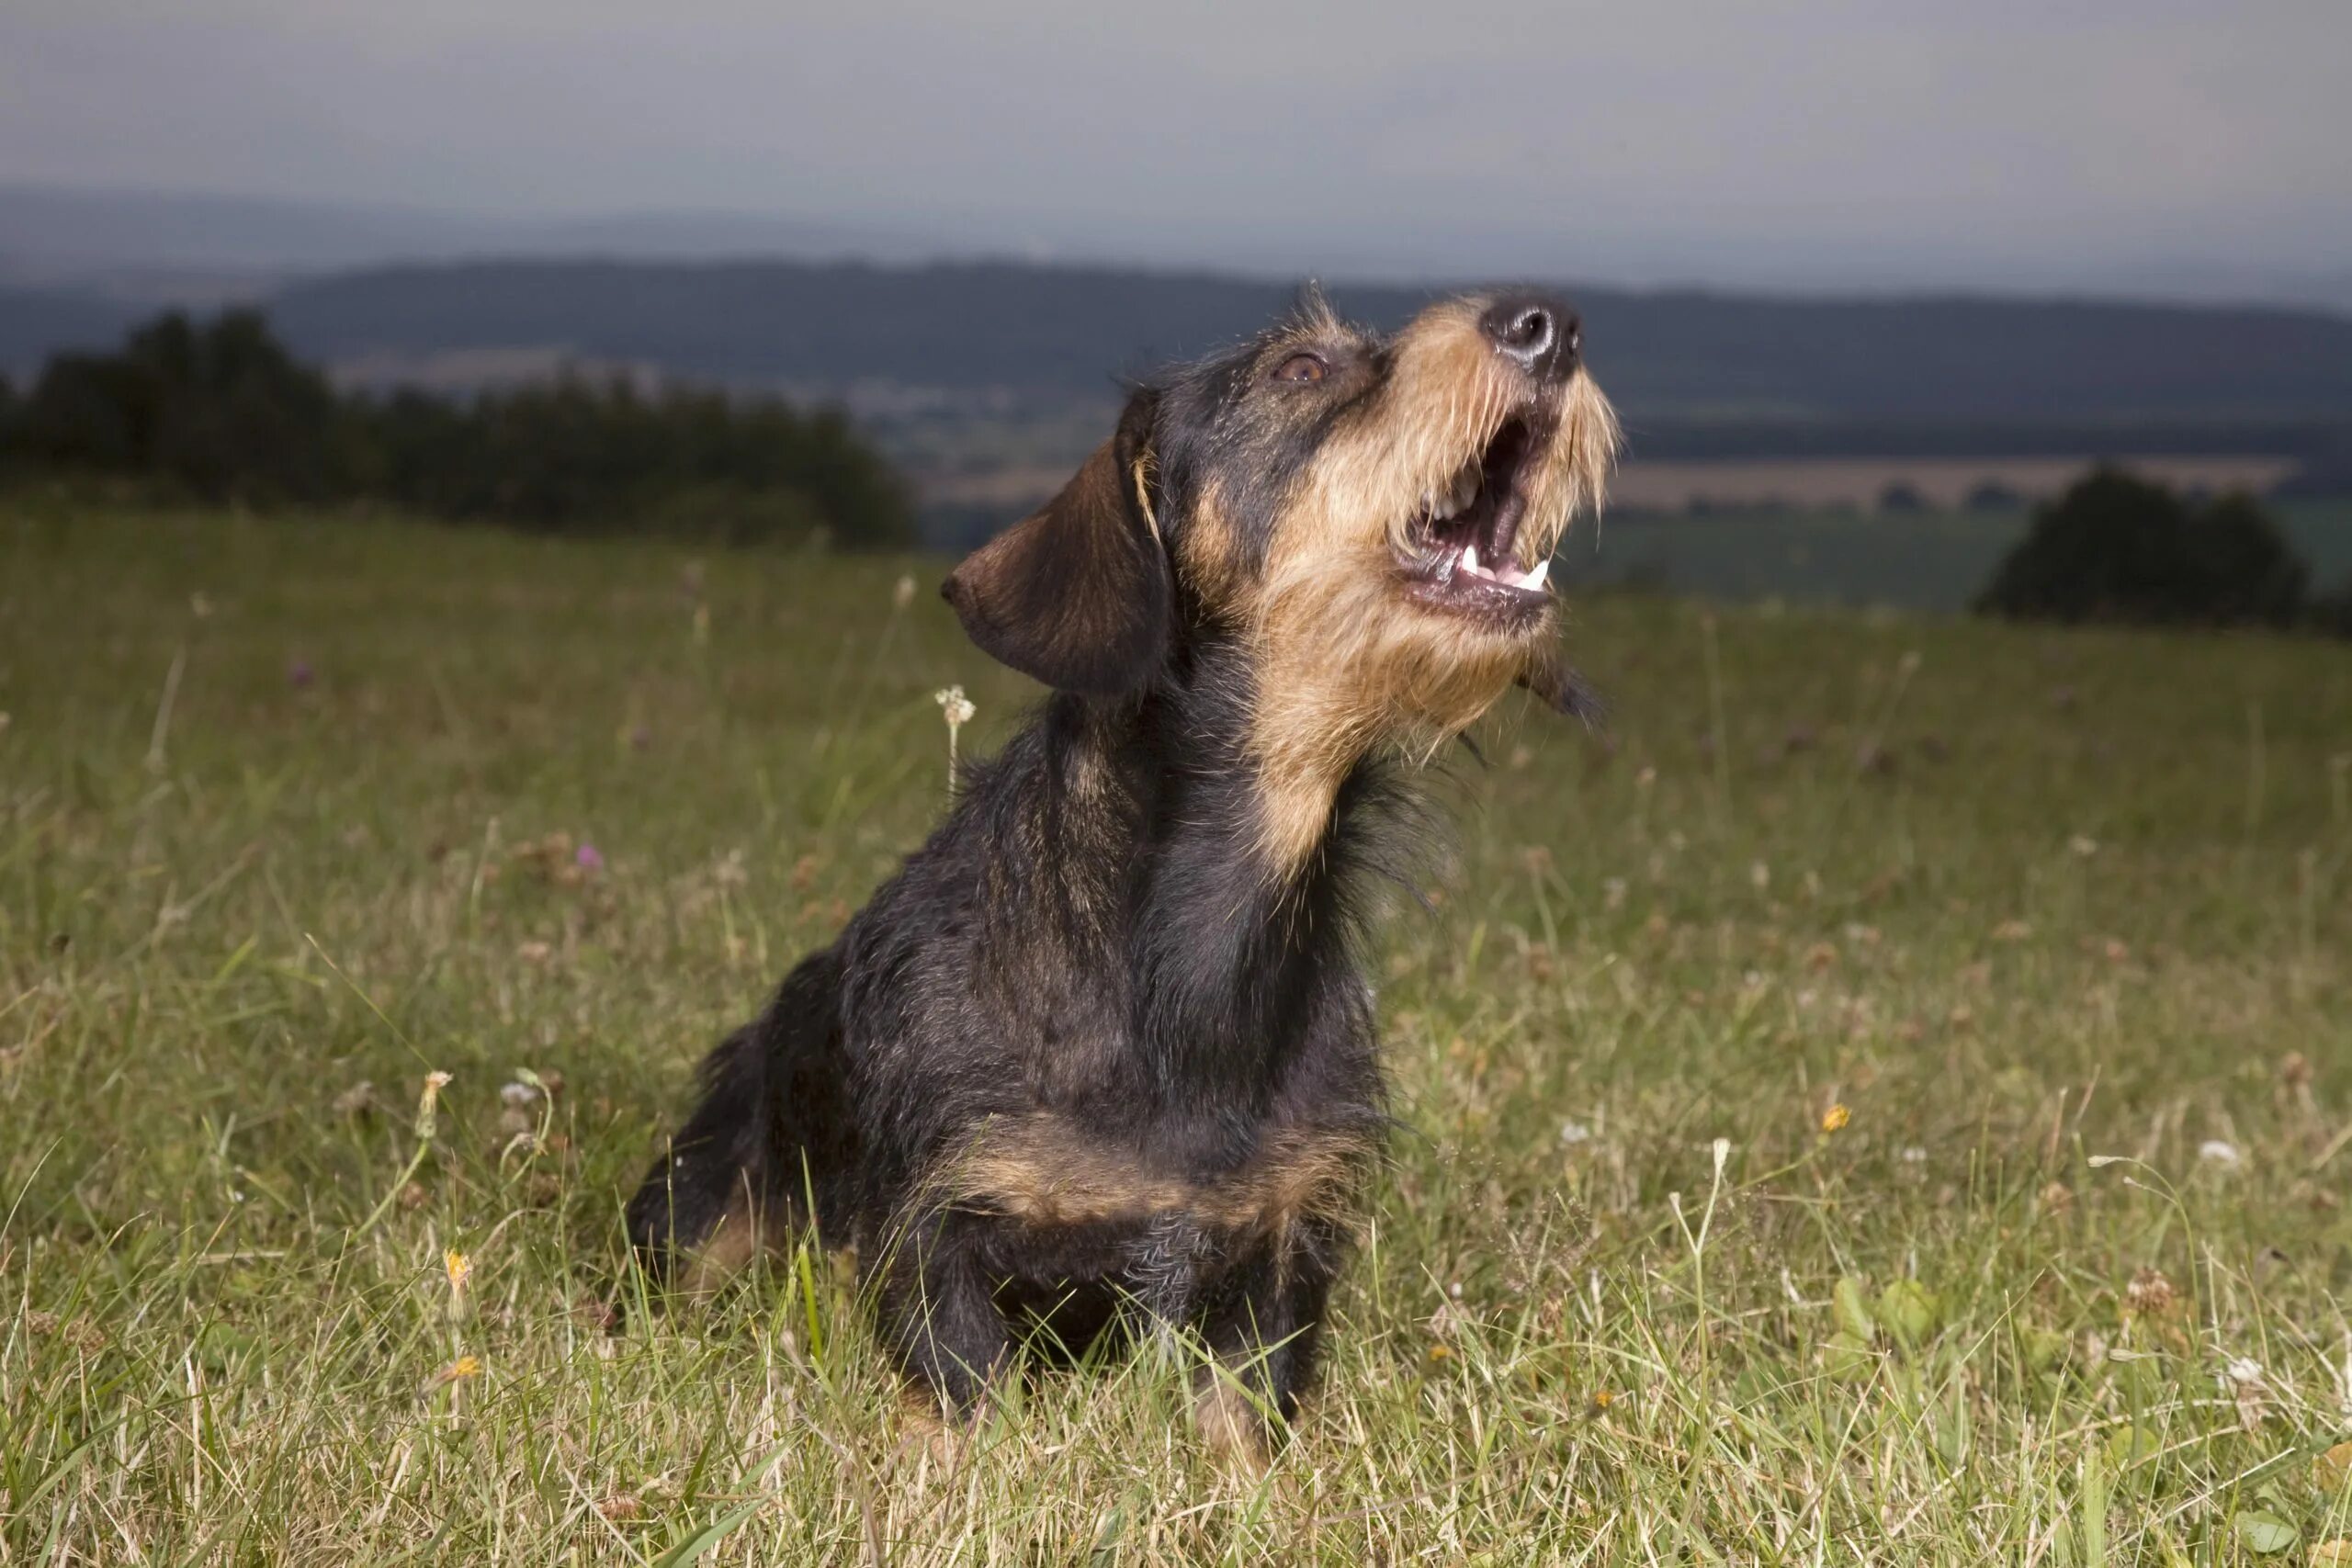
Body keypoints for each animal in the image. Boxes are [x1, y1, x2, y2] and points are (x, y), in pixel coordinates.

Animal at [625, 285, 1618, 1476]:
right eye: (1297, 370)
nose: (1550, 324)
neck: (1188, 954)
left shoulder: (1279, 1253)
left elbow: (1242, 1421)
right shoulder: (937, 1229)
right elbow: (964, 1399)